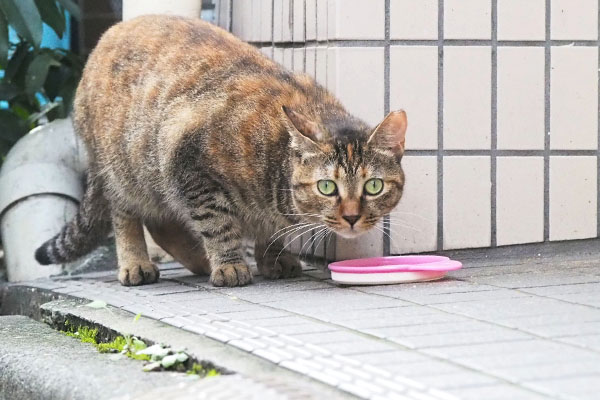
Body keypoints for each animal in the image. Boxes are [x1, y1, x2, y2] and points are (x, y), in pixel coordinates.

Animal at [34, 14, 408, 286]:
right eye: (327, 187)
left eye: (373, 186)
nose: (351, 216)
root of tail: (108, 34)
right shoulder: (190, 166)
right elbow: (218, 225)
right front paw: (230, 265)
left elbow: (271, 229)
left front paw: (274, 256)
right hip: (124, 168)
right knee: (126, 215)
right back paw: (138, 263)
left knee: (161, 222)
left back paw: (198, 260)